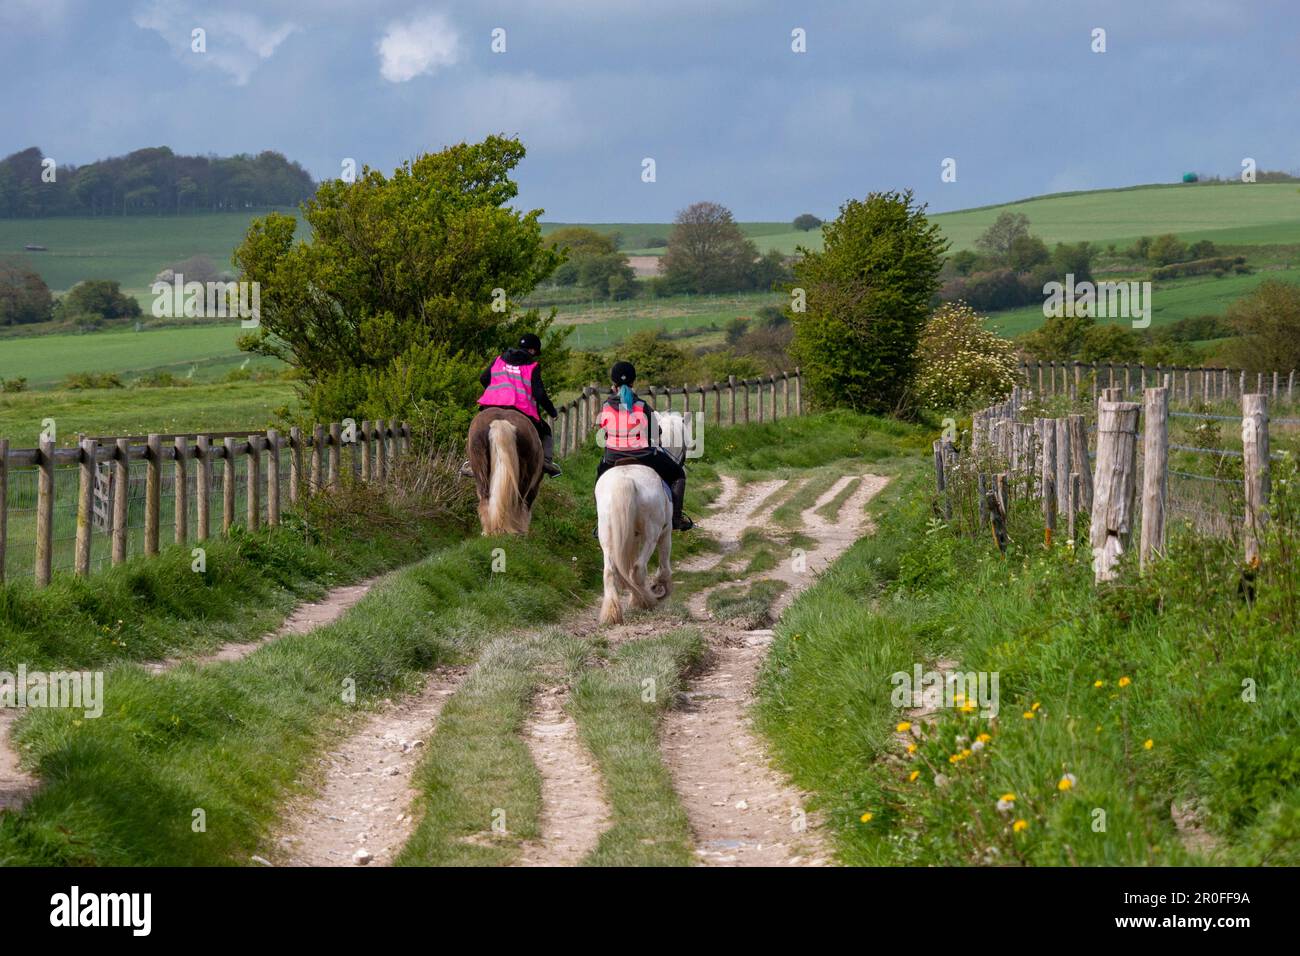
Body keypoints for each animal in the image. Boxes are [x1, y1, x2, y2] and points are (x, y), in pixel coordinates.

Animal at [466, 407, 545, 535]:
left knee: (486, 498)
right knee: (519, 503)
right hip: (525, 477)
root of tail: (500, 422)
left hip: (481, 471)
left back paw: (490, 530)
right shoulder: (535, 484)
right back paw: (517, 530)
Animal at [595, 411, 687, 625]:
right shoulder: (666, 532)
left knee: (611, 571)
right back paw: (646, 601)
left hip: (607, 536)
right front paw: (662, 587)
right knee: (638, 568)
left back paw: (613, 612)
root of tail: (625, 480)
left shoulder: (631, 536)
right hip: (651, 535)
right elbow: (664, 563)